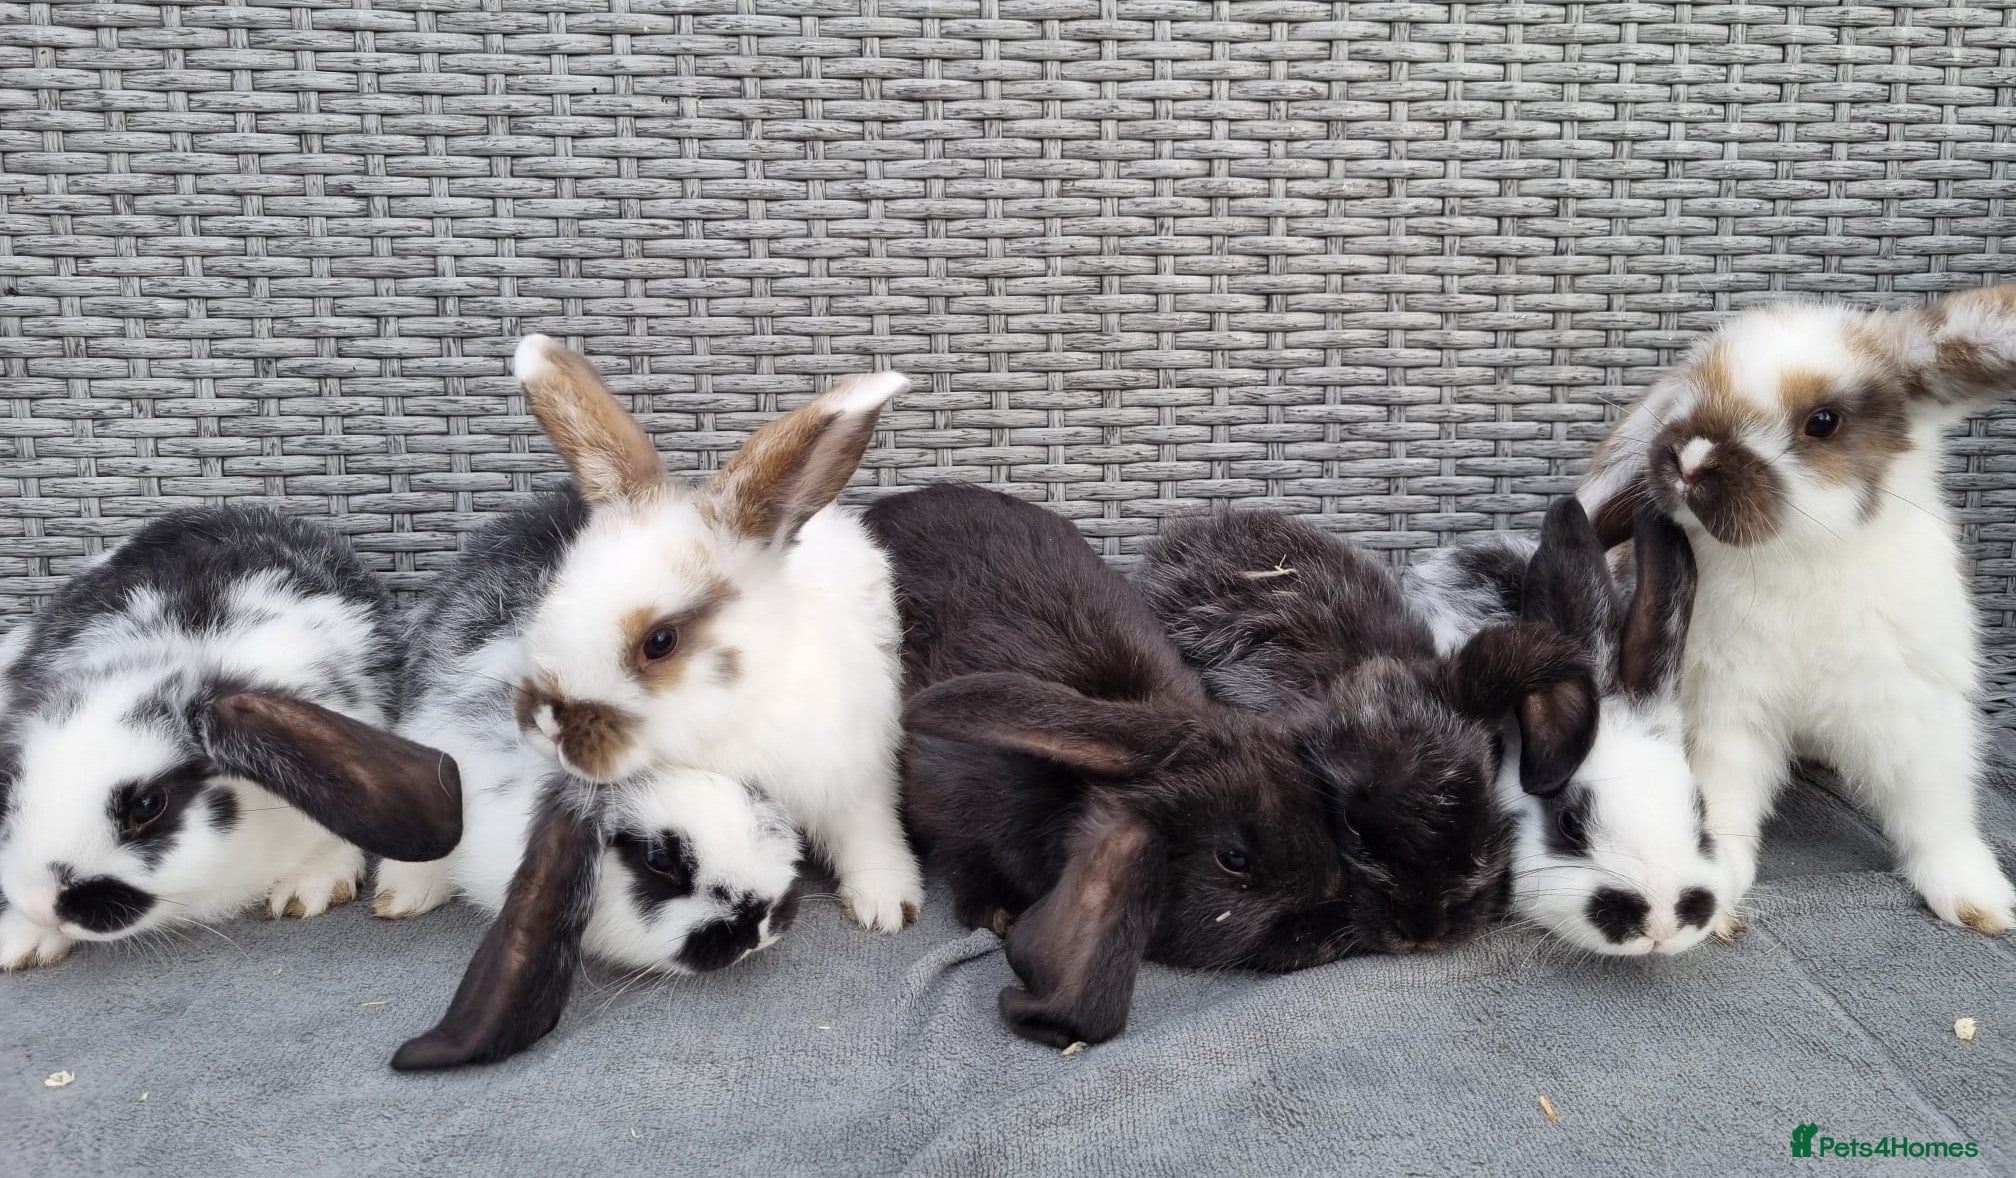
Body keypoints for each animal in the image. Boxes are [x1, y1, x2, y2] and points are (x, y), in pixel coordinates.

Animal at [1575, 283, 2016, 937]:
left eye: (1823, 422)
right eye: (1693, 392)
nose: (1690, 461)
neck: (1796, 555)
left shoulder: (1912, 713)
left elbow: (1934, 812)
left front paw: (1980, 901)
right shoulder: (1726, 712)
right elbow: (1726, 803)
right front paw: (1719, 895)